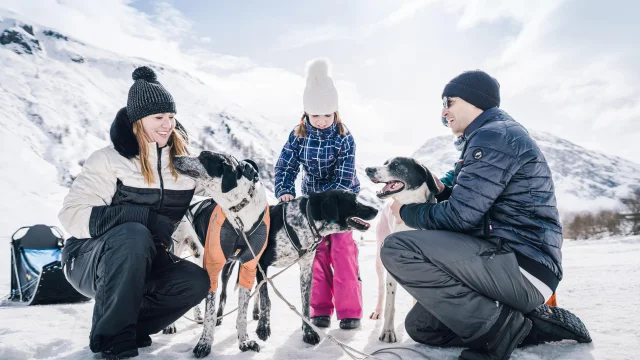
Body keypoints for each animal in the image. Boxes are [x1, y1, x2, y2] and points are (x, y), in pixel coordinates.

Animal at [364, 158, 440, 344]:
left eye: (397, 165)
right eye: (385, 162)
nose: (368, 169)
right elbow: (390, 303)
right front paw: (388, 332)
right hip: (379, 261)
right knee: (381, 289)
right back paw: (378, 311)